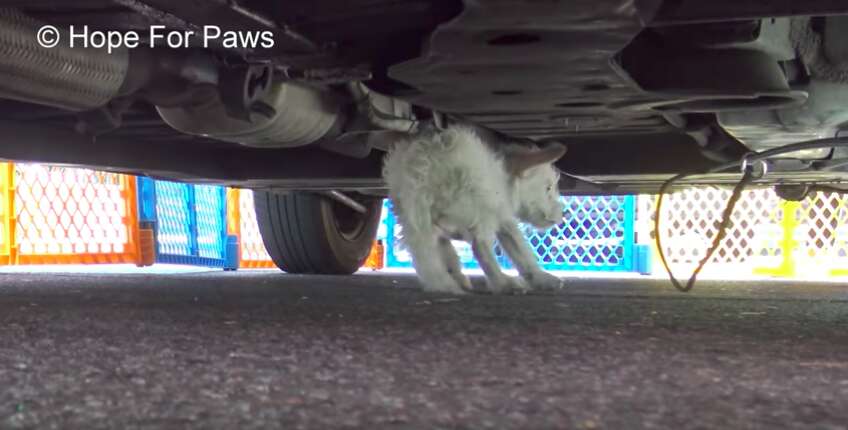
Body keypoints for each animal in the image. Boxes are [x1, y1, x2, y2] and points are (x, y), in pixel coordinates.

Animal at [384, 126, 568, 294]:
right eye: (548, 188)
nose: (562, 213)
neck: (505, 175)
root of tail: (425, 164)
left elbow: (446, 248)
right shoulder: (501, 212)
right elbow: (518, 246)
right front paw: (540, 277)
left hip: (413, 210)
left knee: (424, 244)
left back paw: (443, 282)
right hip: (475, 206)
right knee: (480, 245)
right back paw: (503, 282)